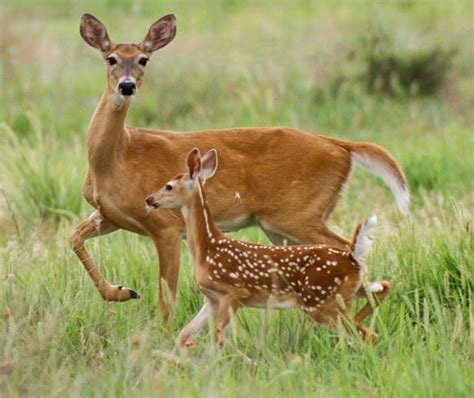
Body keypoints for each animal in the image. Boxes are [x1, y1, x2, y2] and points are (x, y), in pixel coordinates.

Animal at [71, 13, 408, 320]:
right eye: (111, 58)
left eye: (144, 59)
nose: (127, 86)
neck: (117, 159)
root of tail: (342, 147)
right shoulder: (110, 214)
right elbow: (74, 237)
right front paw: (121, 292)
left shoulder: (165, 226)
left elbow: (166, 299)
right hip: (282, 227)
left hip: (298, 214)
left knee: (351, 251)